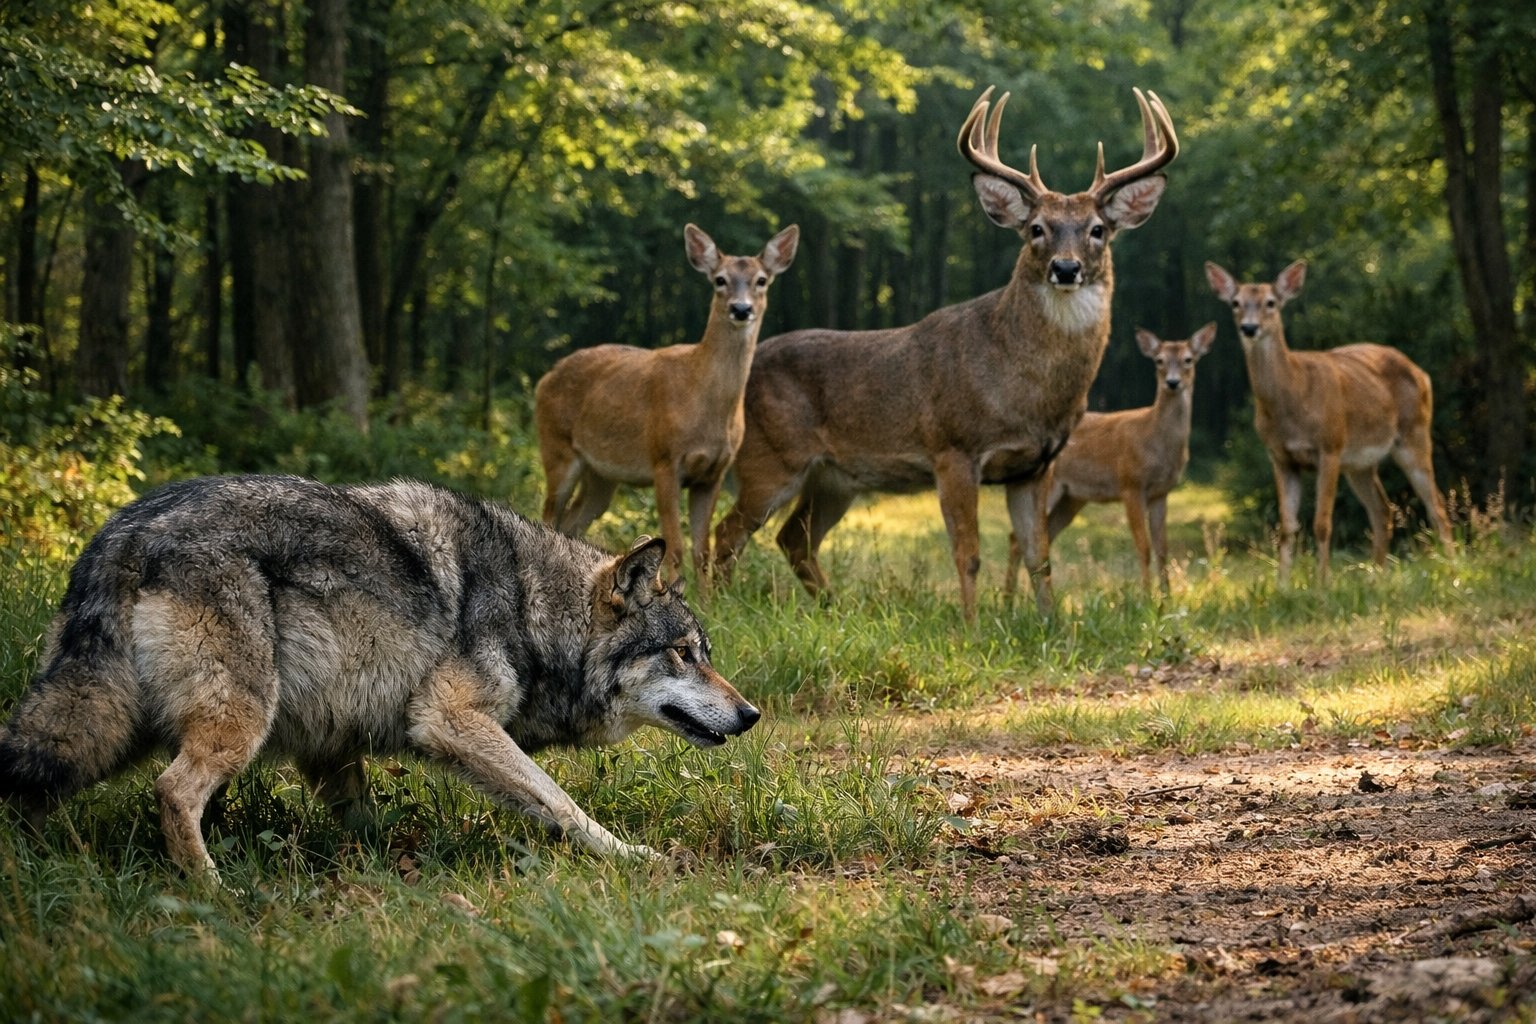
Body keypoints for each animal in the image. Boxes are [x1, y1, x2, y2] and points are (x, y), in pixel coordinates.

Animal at [0, 475, 759, 878]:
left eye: (704, 652)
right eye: (685, 654)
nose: (751, 715)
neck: (535, 608)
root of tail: (121, 534)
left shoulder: (333, 745)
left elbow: (364, 820)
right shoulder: (451, 720)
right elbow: (561, 803)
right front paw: (635, 858)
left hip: (103, 728)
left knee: (35, 781)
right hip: (236, 722)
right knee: (173, 790)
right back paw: (212, 891)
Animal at [535, 222, 799, 582]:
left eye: (761, 280)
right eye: (719, 279)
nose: (741, 309)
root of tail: (545, 378)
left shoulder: (713, 474)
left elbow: (701, 552)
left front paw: (706, 596)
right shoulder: (664, 460)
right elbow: (674, 549)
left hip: (601, 475)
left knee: (573, 524)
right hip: (557, 448)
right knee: (549, 517)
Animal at [711, 86, 1178, 623]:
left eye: (1098, 228)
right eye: (1037, 228)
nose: (1065, 268)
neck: (1022, 386)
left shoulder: (1036, 464)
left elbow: (1039, 555)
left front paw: (1052, 625)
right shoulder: (954, 448)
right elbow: (968, 553)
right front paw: (971, 628)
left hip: (835, 477)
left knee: (794, 538)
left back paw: (835, 610)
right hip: (769, 457)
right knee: (727, 534)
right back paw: (715, 608)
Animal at [1005, 323, 1216, 595]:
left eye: (1188, 359)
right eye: (1159, 360)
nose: (1172, 382)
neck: (1155, 439)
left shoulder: (1161, 492)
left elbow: (1162, 549)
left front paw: (1167, 597)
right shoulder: (1131, 485)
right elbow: (1144, 547)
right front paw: (1147, 596)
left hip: (1072, 498)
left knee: (1041, 538)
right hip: (1051, 486)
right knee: (1016, 538)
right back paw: (1008, 598)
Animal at [1204, 259, 1455, 588]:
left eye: (1271, 302)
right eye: (1235, 302)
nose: (1249, 327)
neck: (1293, 396)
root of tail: (1422, 373)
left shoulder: (1330, 447)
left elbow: (1322, 523)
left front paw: (1323, 584)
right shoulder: (1281, 458)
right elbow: (1287, 526)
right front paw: (1282, 586)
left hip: (1414, 436)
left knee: (1437, 506)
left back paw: (1454, 571)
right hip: (1360, 463)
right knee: (1382, 510)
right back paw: (1377, 578)